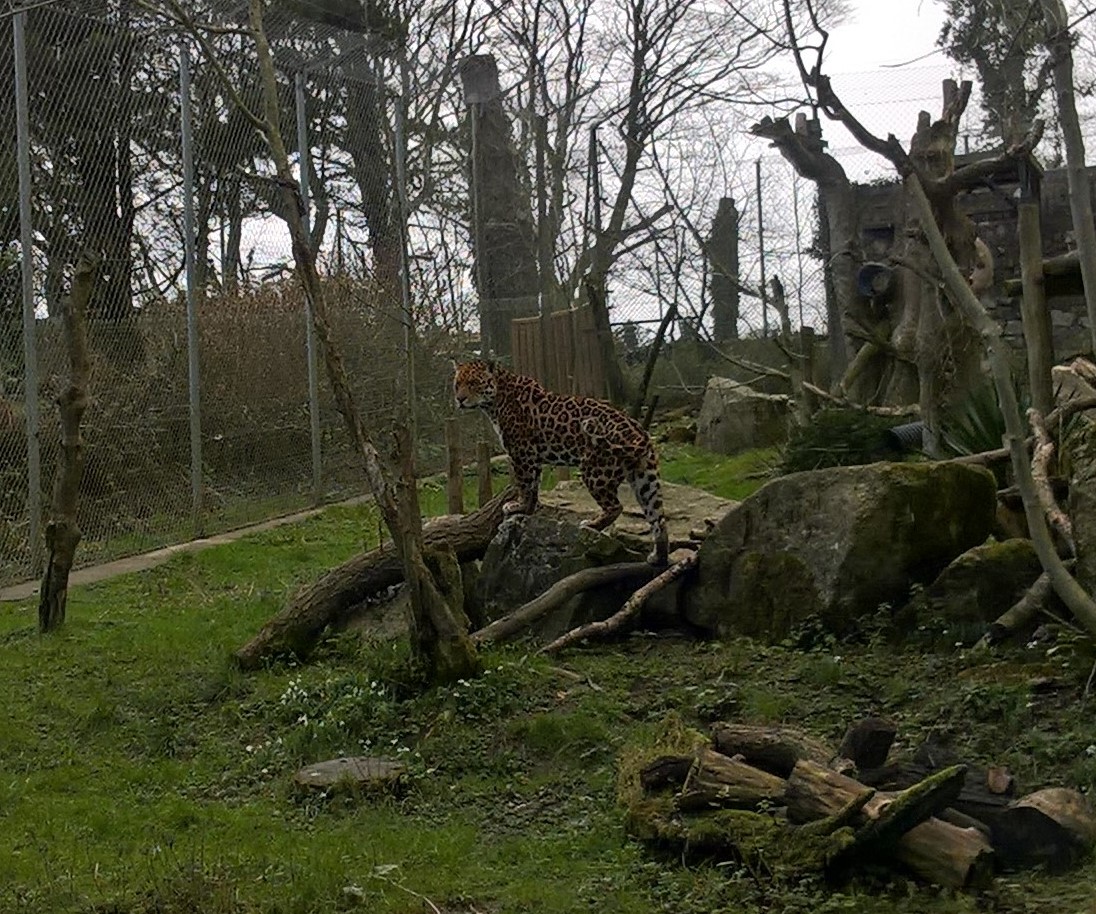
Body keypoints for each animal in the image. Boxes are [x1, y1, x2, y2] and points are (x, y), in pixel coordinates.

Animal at [453, 359, 669, 565]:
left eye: (473, 383)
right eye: (457, 385)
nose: (460, 399)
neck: (496, 400)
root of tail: (640, 434)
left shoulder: (521, 451)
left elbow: (524, 483)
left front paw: (518, 507)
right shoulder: (533, 457)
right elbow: (534, 485)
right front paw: (528, 509)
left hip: (595, 471)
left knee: (616, 507)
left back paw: (591, 525)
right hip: (645, 479)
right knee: (658, 517)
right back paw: (658, 556)